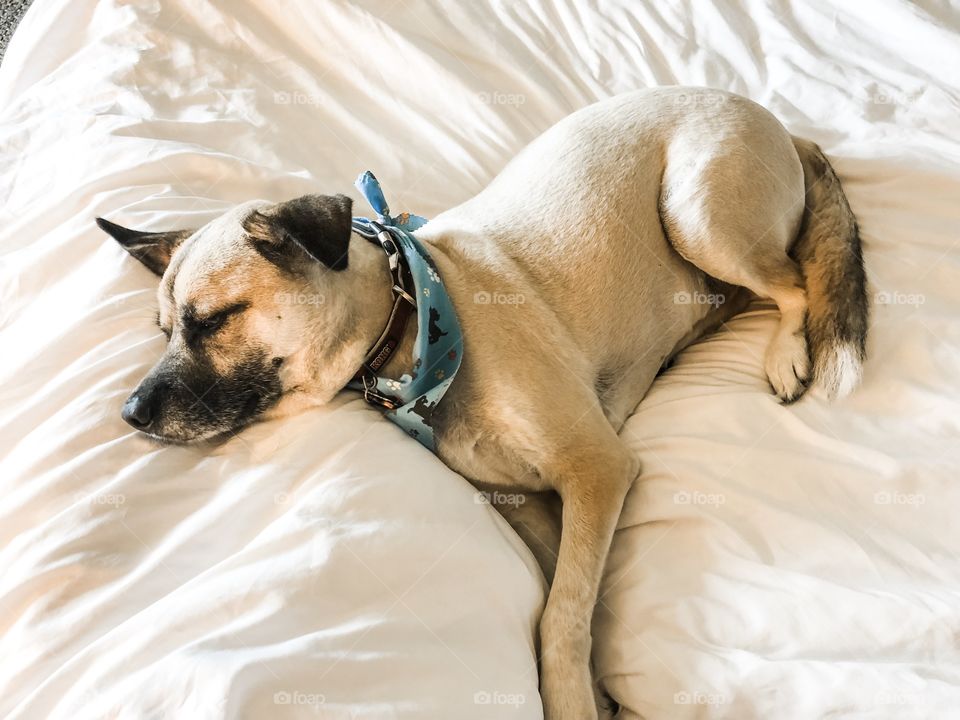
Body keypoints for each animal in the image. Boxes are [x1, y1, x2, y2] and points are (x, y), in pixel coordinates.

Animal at [97, 87, 872, 716]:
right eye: (164, 330)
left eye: (212, 320)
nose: (132, 414)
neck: (416, 319)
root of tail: (773, 120)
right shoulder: (530, 503)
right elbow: (571, 591)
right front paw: (597, 682)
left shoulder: (597, 470)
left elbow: (559, 616)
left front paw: (571, 699)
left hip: (697, 212)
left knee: (793, 282)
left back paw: (786, 350)